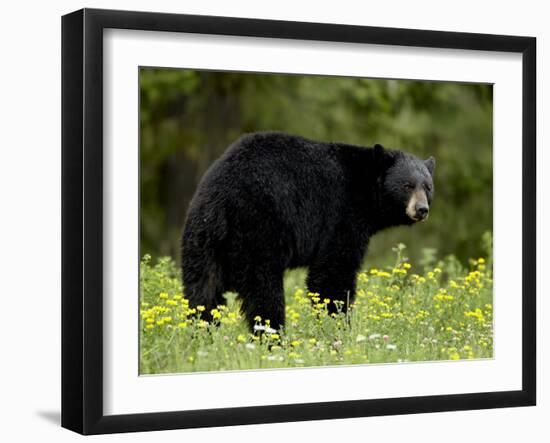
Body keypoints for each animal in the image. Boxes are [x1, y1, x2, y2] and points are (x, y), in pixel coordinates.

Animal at [183, 132, 438, 332]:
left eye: (427, 187)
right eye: (407, 185)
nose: (422, 209)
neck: (365, 191)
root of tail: (220, 198)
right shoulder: (341, 216)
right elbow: (333, 274)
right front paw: (339, 326)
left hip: (201, 239)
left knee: (202, 290)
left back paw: (202, 334)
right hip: (258, 230)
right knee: (263, 291)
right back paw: (274, 337)